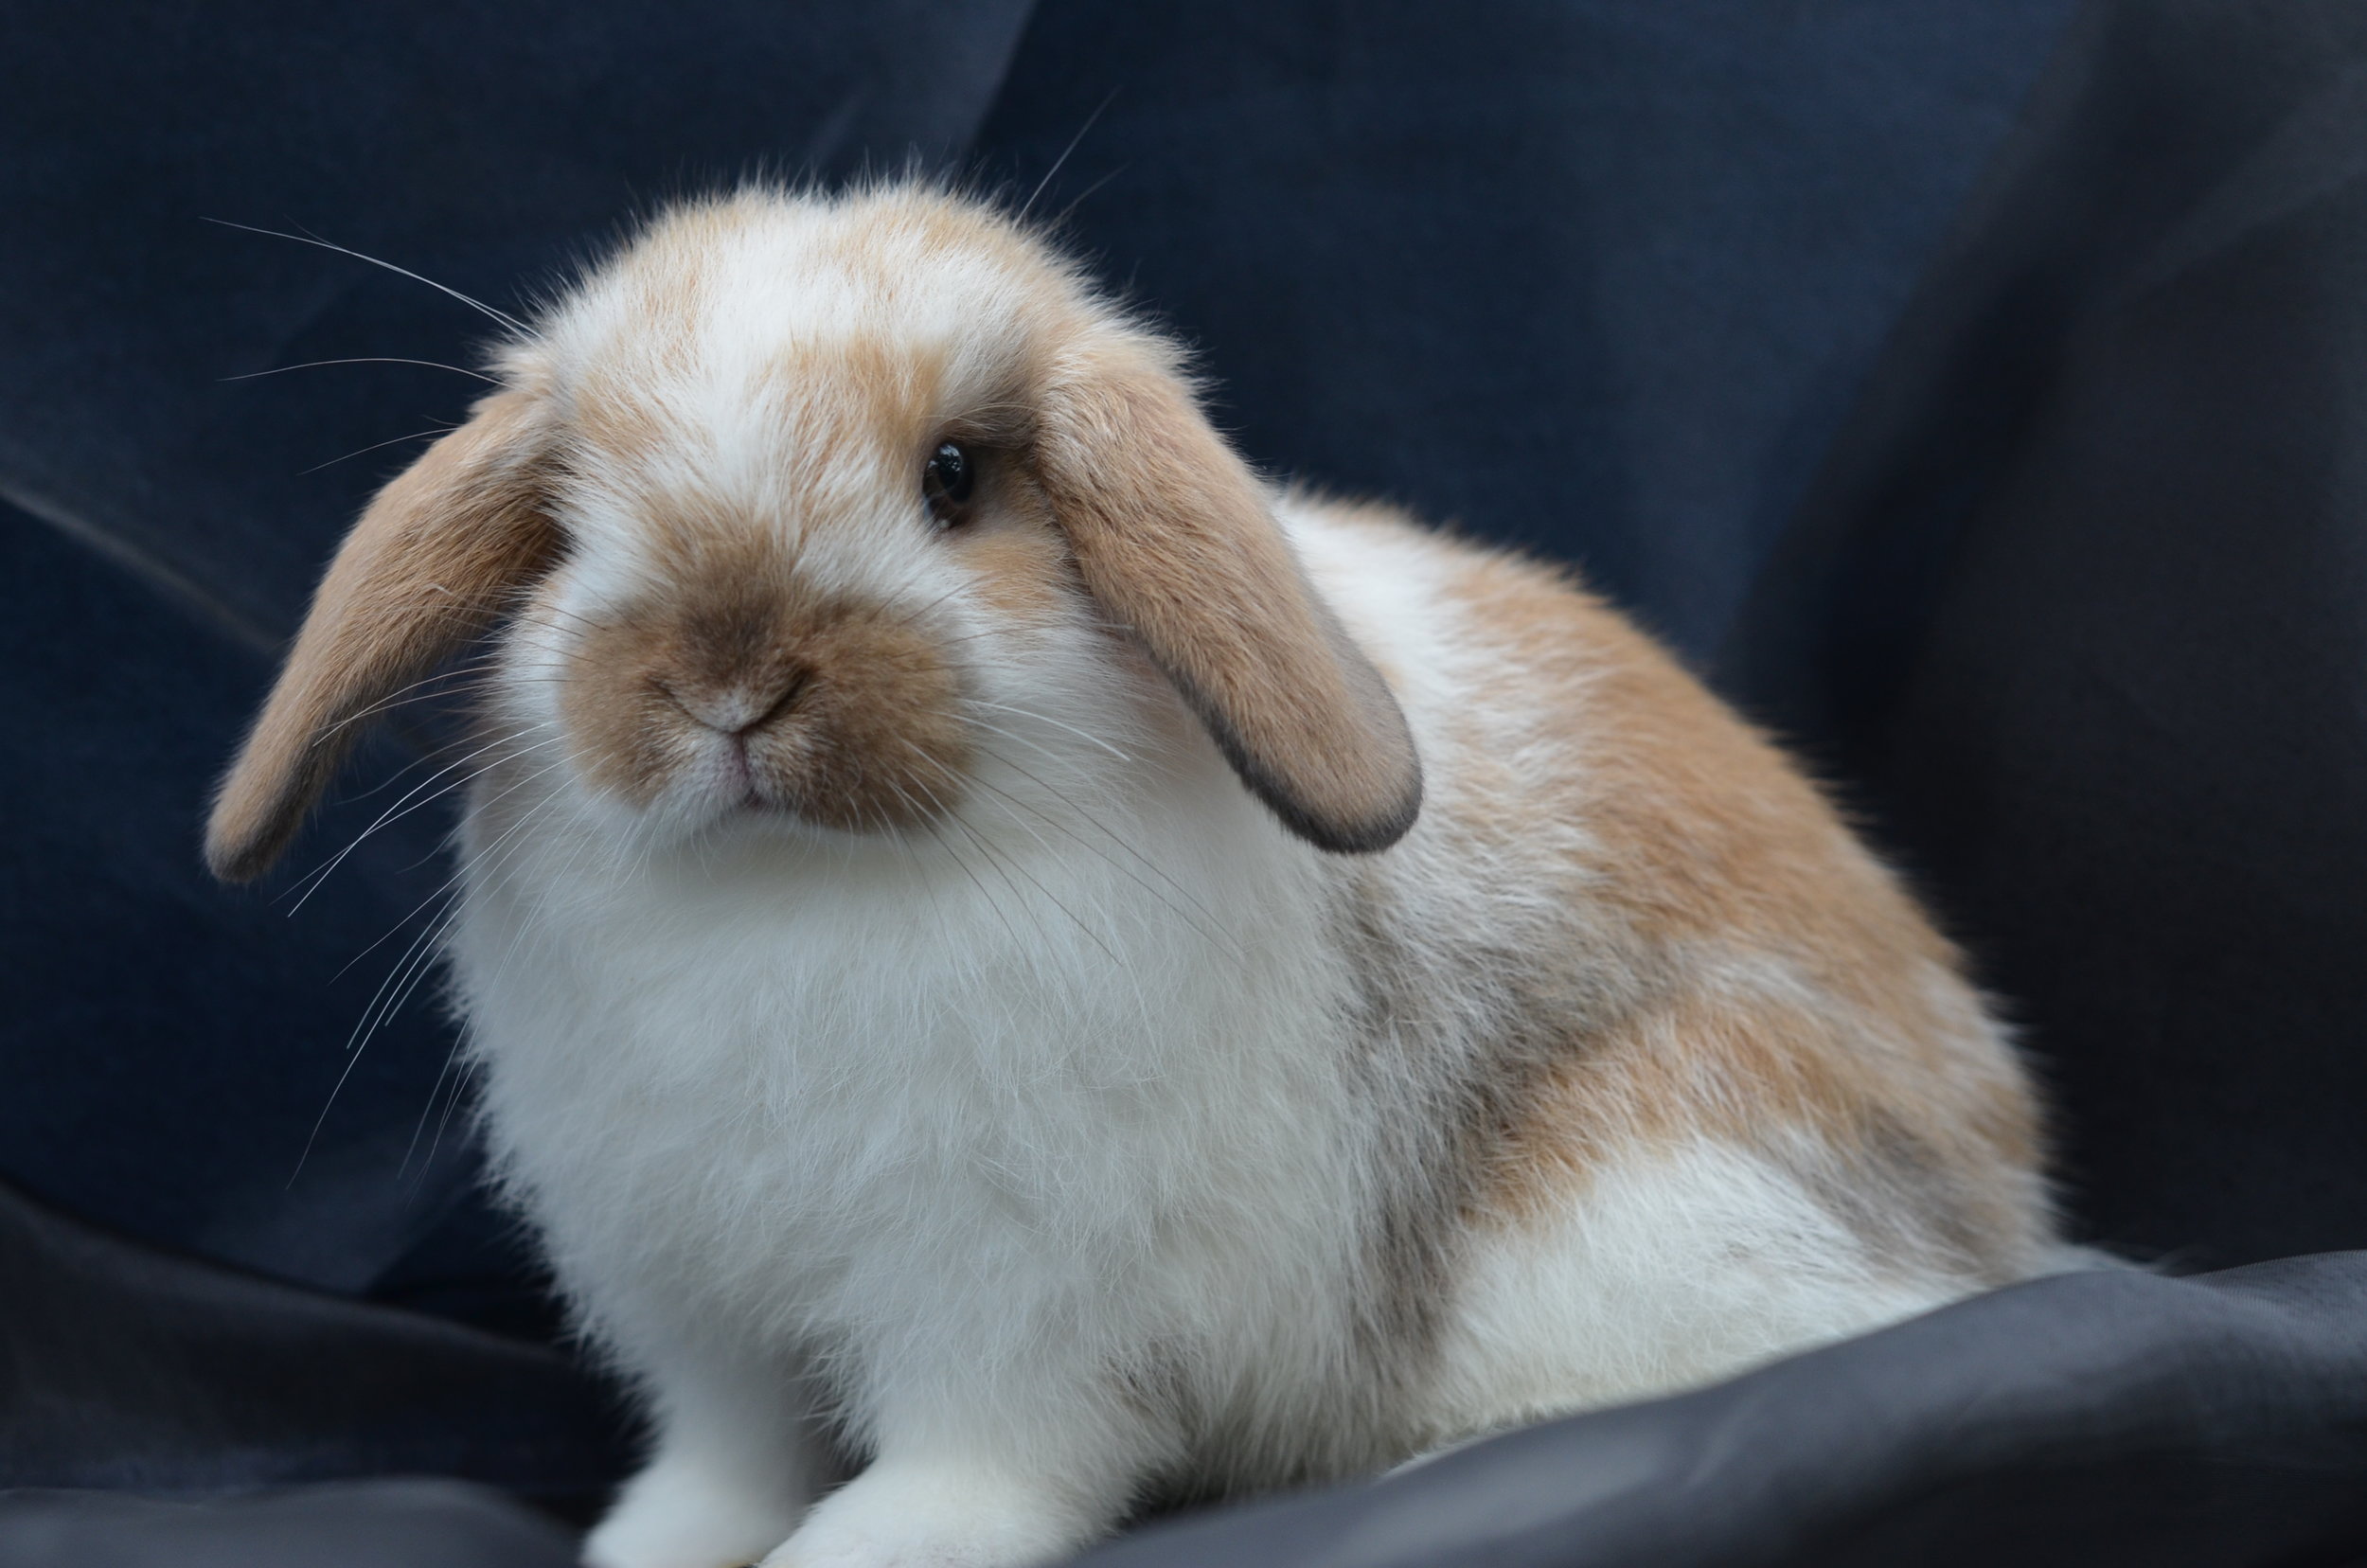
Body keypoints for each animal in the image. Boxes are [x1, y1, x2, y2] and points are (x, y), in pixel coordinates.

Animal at [205, 182, 2063, 1568]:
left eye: (956, 478)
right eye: (573, 518)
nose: (727, 680)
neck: (797, 888)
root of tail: (2006, 1209)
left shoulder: (1010, 1289)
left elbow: (981, 1449)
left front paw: (872, 1546)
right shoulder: (698, 1297)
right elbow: (727, 1452)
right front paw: (656, 1544)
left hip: (1664, 1176)